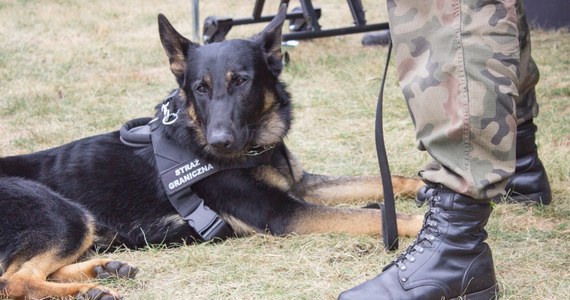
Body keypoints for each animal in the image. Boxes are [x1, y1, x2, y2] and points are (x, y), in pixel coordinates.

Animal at [0, 4, 420, 300]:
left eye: (241, 82)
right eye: (200, 88)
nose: (219, 143)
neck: (256, 147)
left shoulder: (302, 186)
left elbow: (383, 183)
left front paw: (422, 186)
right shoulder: (284, 212)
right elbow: (373, 216)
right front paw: (418, 221)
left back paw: (102, 270)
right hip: (67, 216)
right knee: (15, 280)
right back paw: (88, 290)